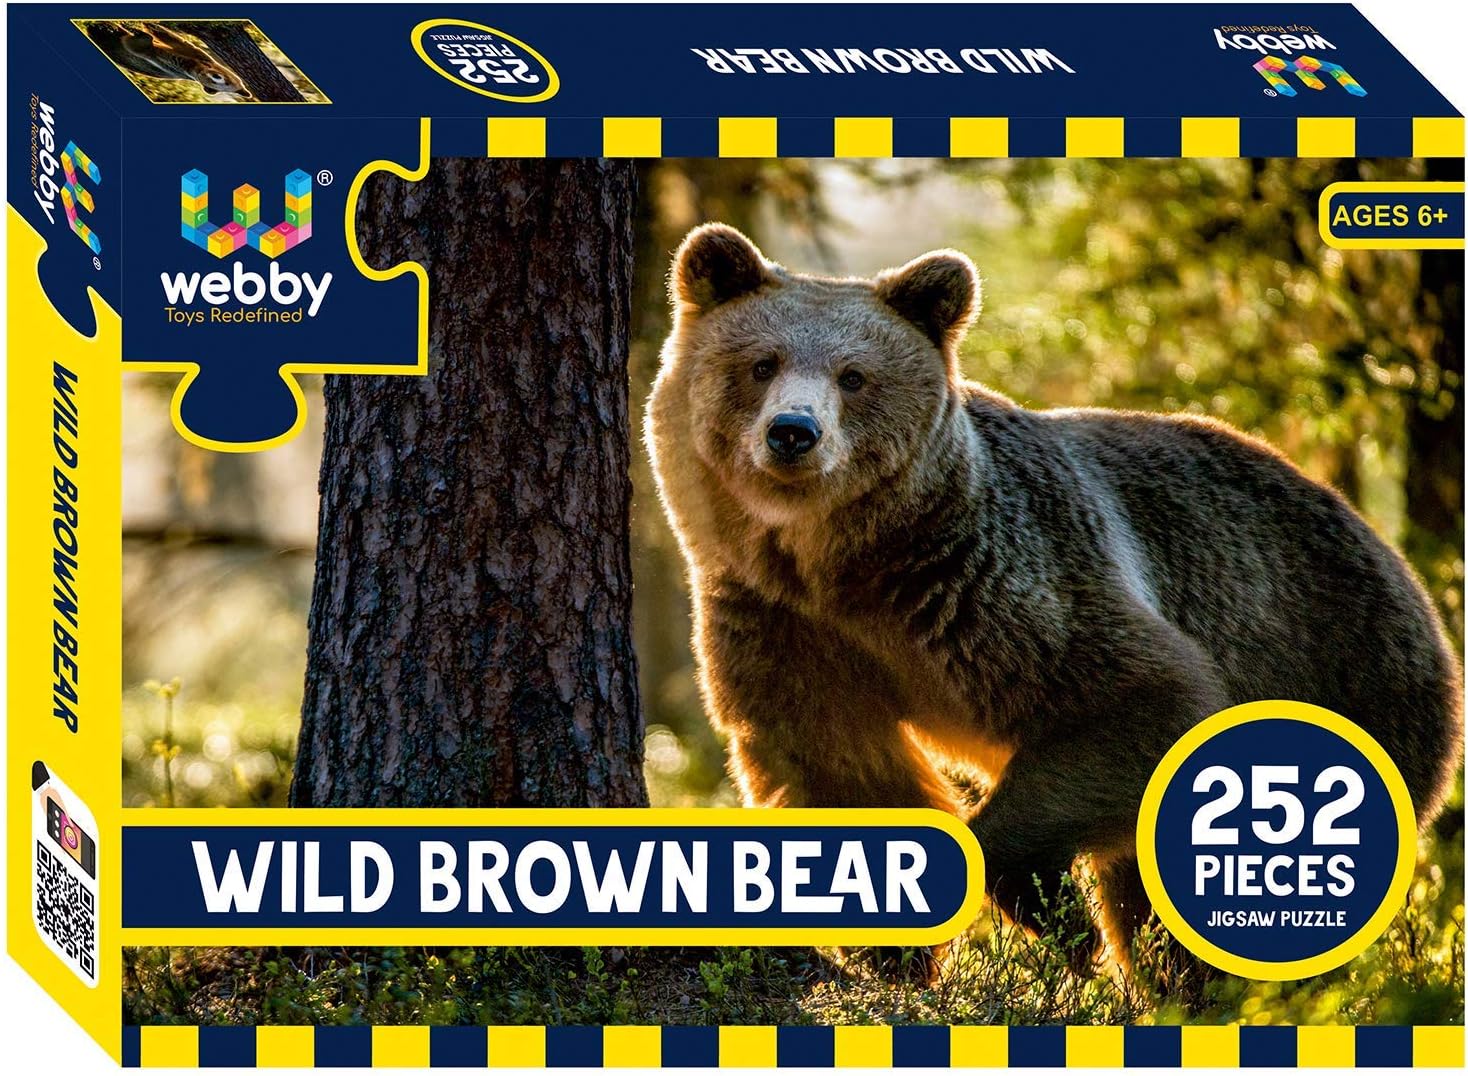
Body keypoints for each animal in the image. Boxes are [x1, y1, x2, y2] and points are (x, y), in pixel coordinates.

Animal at [645, 222, 1463, 978]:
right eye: (761, 363)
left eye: (853, 376)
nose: (794, 432)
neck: (848, 564)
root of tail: (1401, 570)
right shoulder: (782, 619)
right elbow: (834, 764)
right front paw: (895, 949)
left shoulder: (994, 584)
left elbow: (1137, 698)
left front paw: (1054, 919)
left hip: (1350, 682)